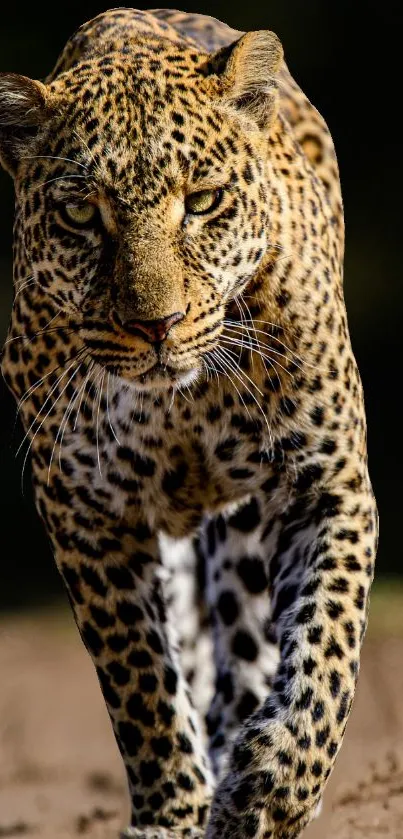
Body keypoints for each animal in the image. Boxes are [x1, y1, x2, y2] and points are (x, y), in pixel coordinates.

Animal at [0, 9, 378, 839]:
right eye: (81, 213)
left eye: (202, 202)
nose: (156, 325)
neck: (181, 400)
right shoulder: (85, 511)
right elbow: (140, 679)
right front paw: (172, 811)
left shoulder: (326, 480)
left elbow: (326, 649)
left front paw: (272, 787)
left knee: (249, 649)